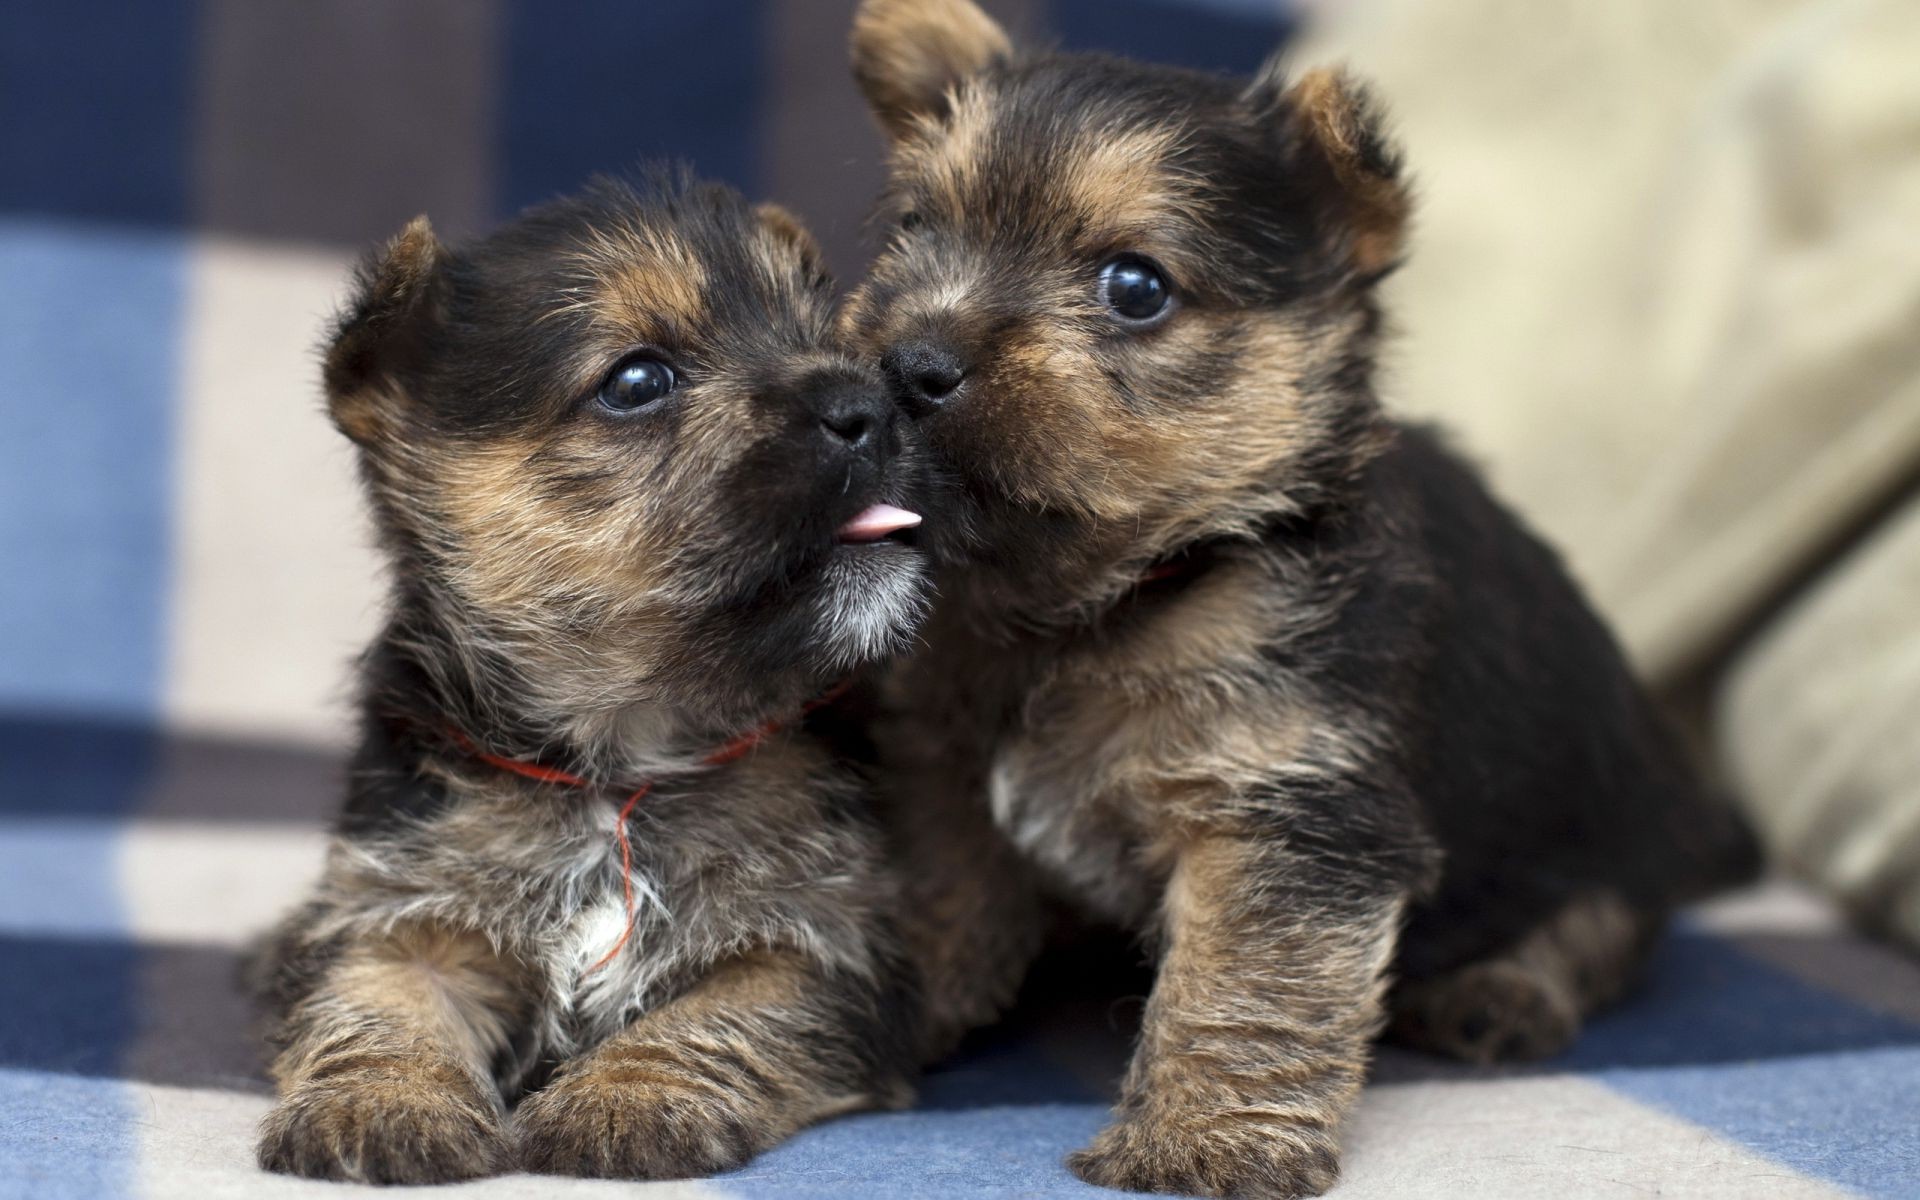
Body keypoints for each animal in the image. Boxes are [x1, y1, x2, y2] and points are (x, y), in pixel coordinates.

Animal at [255, 170, 929, 1190]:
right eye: (638, 382)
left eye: (830, 337)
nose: (870, 401)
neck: (622, 767)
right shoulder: (403, 907)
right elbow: (377, 994)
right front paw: (381, 1100)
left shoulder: (825, 942)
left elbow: (729, 1009)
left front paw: (628, 1095)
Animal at [840, 4, 1758, 1190]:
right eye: (913, 229)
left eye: (1135, 288)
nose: (910, 361)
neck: (1113, 595)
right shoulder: (945, 772)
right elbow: (945, 902)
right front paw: (892, 1022)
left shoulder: (1284, 803)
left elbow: (1244, 982)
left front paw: (1201, 1142)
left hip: (1607, 816)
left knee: (1601, 924)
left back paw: (1502, 992)